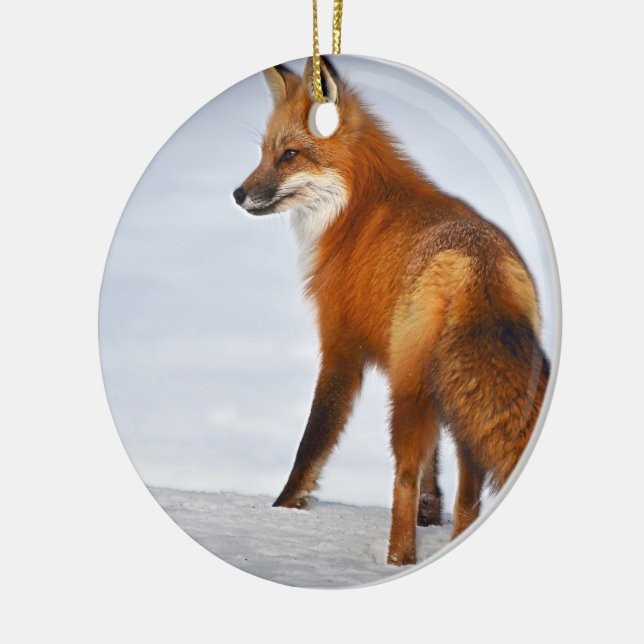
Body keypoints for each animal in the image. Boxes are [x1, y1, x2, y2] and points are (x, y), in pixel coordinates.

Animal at [233, 56, 550, 566]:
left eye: (290, 155)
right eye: (264, 152)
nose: (238, 193)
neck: (354, 211)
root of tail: (476, 265)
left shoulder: (340, 345)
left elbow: (313, 440)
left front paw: (283, 509)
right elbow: (434, 477)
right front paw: (431, 514)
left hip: (407, 392)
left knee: (401, 478)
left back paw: (398, 559)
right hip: (448, 401)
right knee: (468, 495)